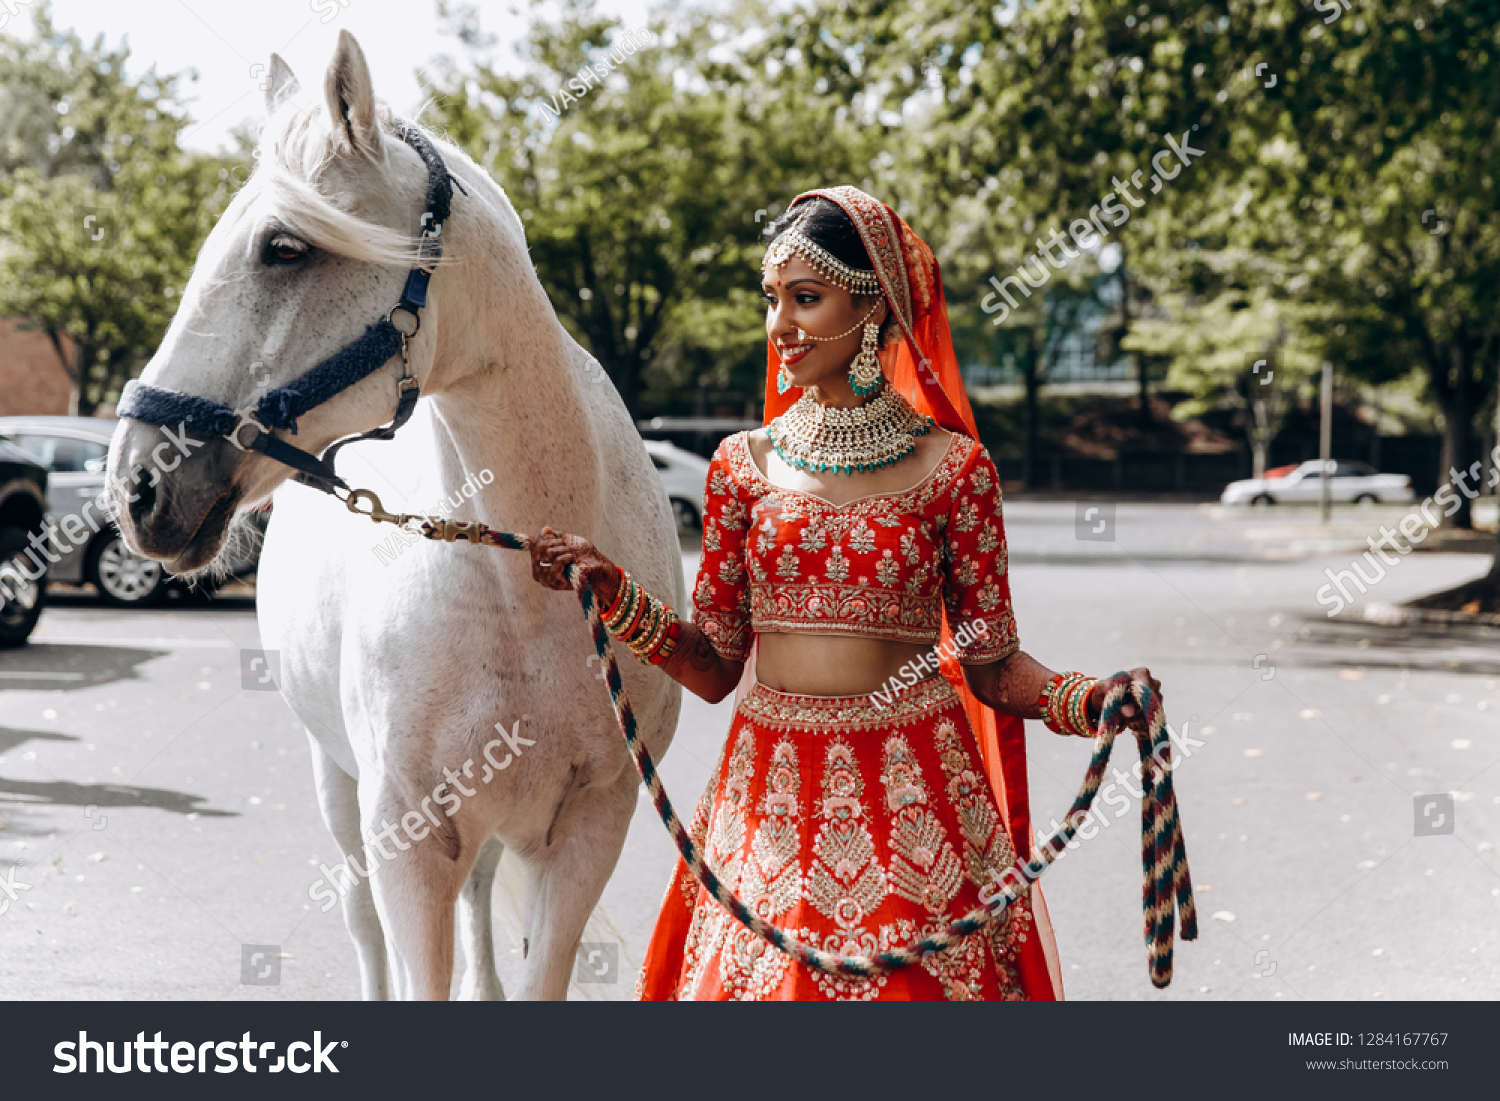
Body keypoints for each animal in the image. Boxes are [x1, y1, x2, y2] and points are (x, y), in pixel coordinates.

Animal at [108, 32, 684, 1002]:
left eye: (284, 247)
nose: (136, 485)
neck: (523, 587)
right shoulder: (406, 836)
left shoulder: (590, 828)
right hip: (339, 788)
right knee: (361, 920)